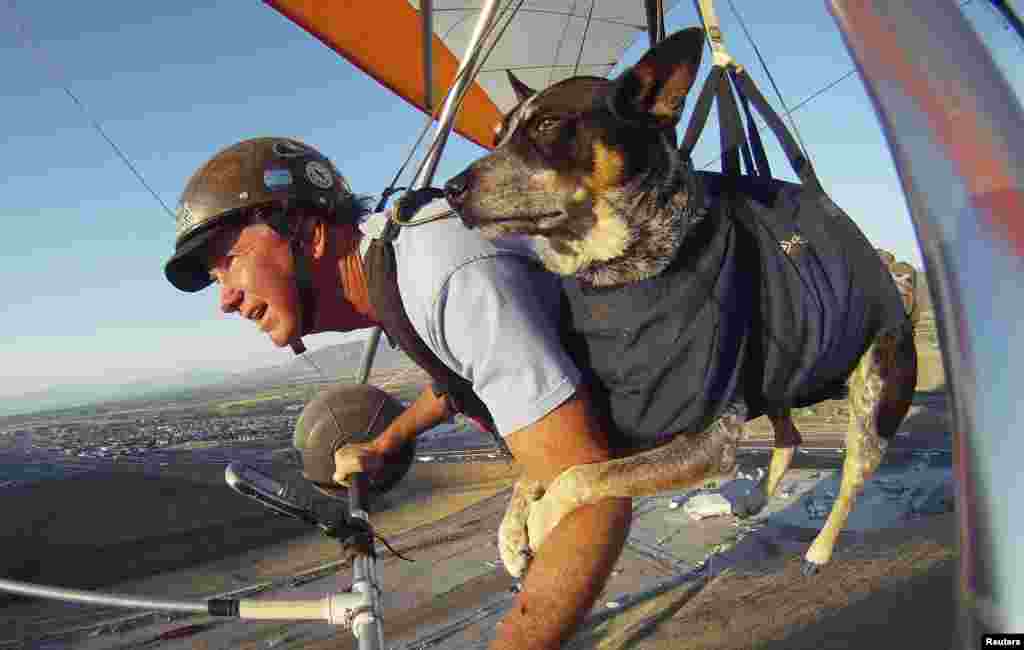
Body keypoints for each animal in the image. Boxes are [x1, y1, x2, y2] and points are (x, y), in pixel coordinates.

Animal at [444, 26, 917, 581]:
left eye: (548, 124)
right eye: (498, 134)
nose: (451, 189)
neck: (618, 276)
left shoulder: (703, 436)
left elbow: (583, 476)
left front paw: (539, 521)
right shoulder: (625, 413)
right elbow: (545, 470)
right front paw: (511, 532)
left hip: (873, 399)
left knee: (853, 475)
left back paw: (819, 549)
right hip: (776, 372)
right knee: (790, 435)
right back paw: (755, 499)